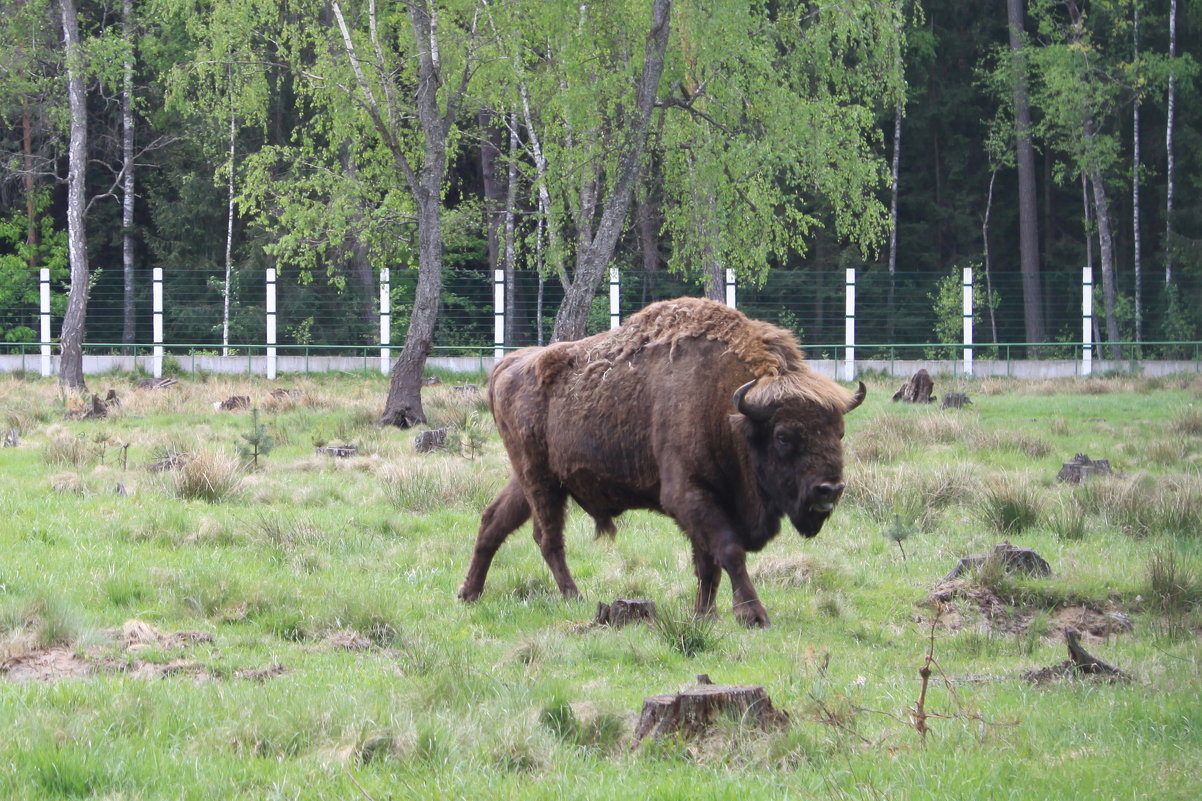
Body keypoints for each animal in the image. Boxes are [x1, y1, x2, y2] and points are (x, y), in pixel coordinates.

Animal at [456, 294, 865, 625]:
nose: (829, 489)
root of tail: (506, 365)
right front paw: (753, 615)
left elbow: (707, 564)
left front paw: (705, 615)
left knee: (493, 521)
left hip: (532, 478)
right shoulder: (688, 495)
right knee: (547, 536)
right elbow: (728, 551)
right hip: (539, 479)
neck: (727, 406)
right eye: (783, 435)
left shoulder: (707, 503)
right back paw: (574, 596)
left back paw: (469, 594)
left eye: (840, 432)